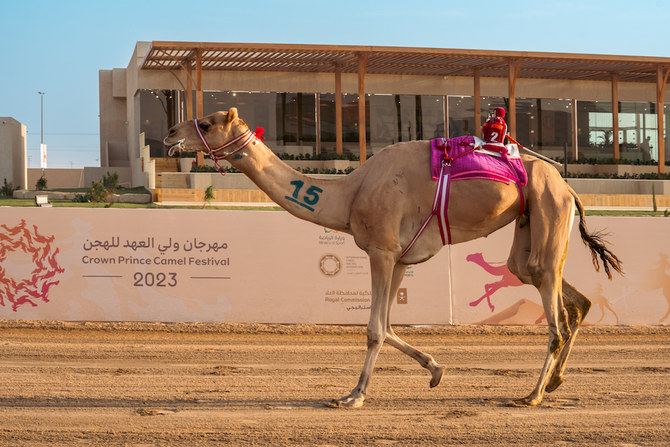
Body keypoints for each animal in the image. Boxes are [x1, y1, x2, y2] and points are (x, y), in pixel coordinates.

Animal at [164, 108, 624, 410]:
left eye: (206, 123)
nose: (169, 133)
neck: (349, 194)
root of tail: (570, 187)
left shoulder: (381, 250)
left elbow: (373, 329)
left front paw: (353, 396)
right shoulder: (401, 259)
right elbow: (386, 324)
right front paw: (435, 370)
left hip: (548, 207)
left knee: (553, 309)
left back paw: (532, 395)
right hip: (530, 222)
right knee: (551, 286)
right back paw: (557, 381)